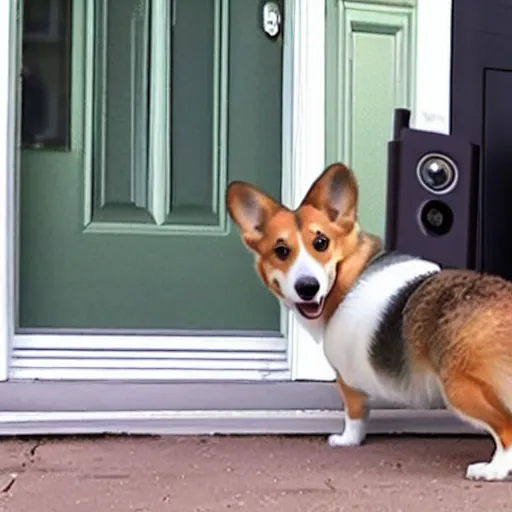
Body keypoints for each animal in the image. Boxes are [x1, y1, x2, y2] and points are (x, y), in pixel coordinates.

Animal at [228, 163, 512, 480]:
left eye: (320, 242)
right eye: (281, 251)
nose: (307, 287)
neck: (347, 276)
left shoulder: (346, 382)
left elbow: (354, 415)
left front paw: (347, 440)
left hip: (461, 388)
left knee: (506, 429)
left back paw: (493, 469)